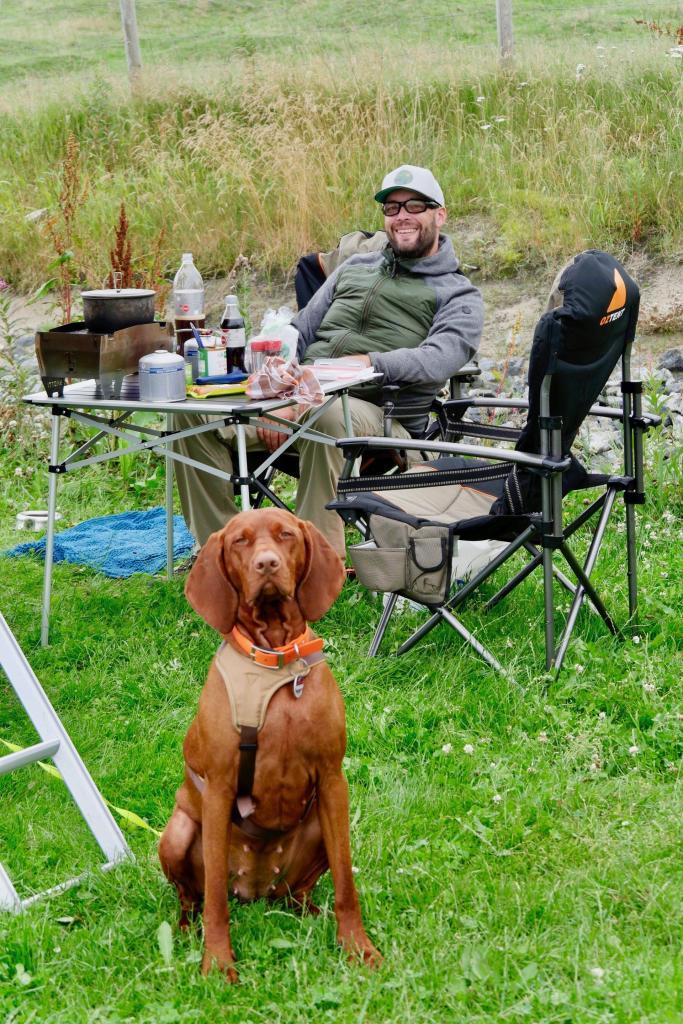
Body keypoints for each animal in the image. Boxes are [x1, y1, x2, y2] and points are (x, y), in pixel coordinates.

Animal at [158, 507, 378, 978]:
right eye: (240, 540)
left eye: (286, 535)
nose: (267, 564)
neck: (276, 663)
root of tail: (256, 892)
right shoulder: (219, 789)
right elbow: (215, 901)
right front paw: (218, 964)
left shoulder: (333, 780)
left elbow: (346, 881)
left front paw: (357, 947)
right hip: (178, 831)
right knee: (192, 897)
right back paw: (186, 930)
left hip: (316, 831)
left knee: (299, 892)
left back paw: (311, 913)